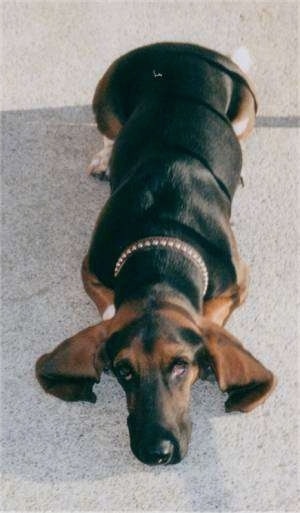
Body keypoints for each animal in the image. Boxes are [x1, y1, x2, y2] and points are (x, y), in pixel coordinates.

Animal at [36, 43, 276, 464]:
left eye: (182, 366)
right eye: (123, 371)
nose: (156, 452)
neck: (161, 250)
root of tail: (180, 46)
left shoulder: (239, 282)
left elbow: (210, 313)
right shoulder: (90, 267)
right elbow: (108, 305)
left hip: (246, 114)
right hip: (107, 103)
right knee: (108, 134)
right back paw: (104, 160)